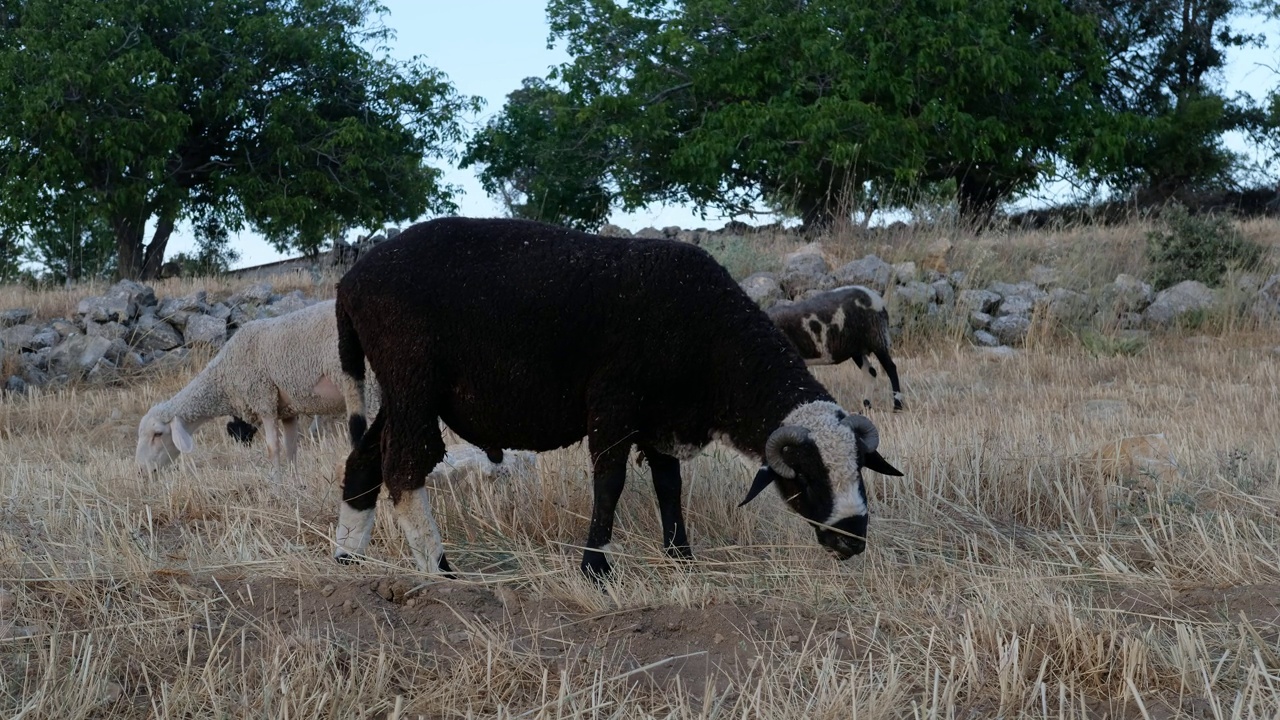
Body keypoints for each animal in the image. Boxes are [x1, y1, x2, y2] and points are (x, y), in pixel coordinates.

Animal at [141, 298, 378, 474]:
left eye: (157, 434)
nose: (143, 471)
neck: (223, 377)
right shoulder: (288, 409)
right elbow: (291, 449)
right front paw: (293, 484)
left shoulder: (263, 399)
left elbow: (273, 449)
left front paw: (277, 487)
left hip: (370, 386)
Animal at [762, 284, 906, 409]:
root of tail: (872, 295)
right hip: (856, 348)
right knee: (871, 372)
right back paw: (866, 406)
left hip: (877, 338)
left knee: (891, 368)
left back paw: (897, 406)